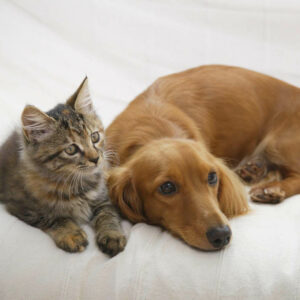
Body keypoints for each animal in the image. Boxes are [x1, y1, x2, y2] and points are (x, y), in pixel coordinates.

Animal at [0, 77, 125, 255]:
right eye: (71, 149)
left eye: (94, 137)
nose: (95, 159)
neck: (76, 182)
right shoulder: (22, 206)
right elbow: (53, 217)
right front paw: (72, 234)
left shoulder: (103, 197)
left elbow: (108, 215)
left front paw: (112, 235)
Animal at [104, 65, 298, 251]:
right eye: (167, 187)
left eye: (212, 177)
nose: (222, 235)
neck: (154, 126)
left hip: (278, 145)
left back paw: (271, 190)